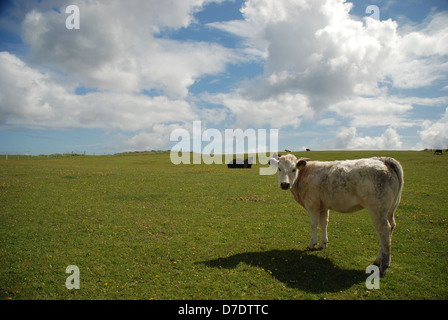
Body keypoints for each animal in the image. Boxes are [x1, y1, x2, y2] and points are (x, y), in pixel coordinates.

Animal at [268, 154, 404, 276]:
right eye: (279, 168)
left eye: (293, 169)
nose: (284, 184)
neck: (303, 176)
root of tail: (384, 160)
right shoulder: (323, 205)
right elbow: (324, 223)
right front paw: (323, 243)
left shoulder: (312, 204)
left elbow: (314, 224)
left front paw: (312, 244)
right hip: (390, 210)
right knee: (390, 228)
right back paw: (378, 260)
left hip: (378, 210)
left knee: (384, 232)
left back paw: (383, 266)